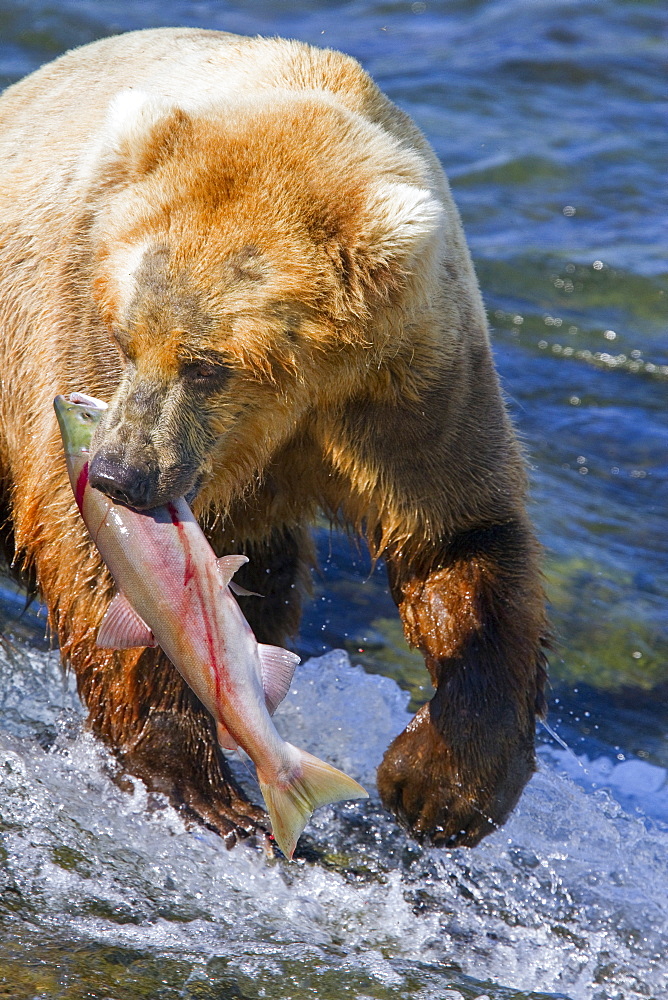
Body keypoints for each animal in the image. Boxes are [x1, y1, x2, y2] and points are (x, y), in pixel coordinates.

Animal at [0, 27, 544, 848]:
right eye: (127, 338)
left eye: (206, 365)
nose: (120, 473)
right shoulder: (73, 308)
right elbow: (101, 568)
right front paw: (197, 779)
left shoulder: (407, 387)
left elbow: (461, 539)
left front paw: (438, 788)